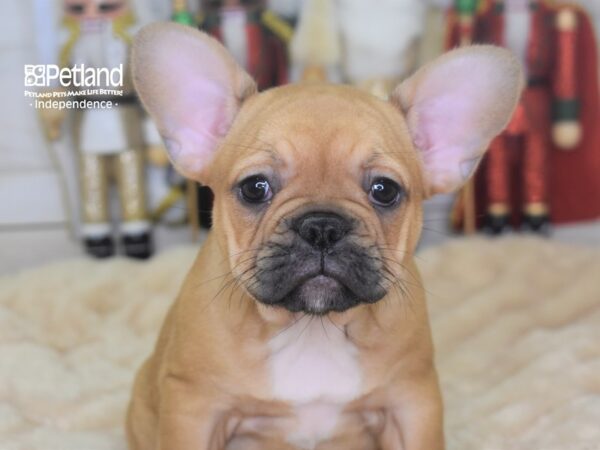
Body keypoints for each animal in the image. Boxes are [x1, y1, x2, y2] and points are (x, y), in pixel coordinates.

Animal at [125, 23, 520, 450]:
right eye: (254, 188)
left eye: (385, 190)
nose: (322, 226)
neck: (313, 329)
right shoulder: (195, 407)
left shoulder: (412, 402)